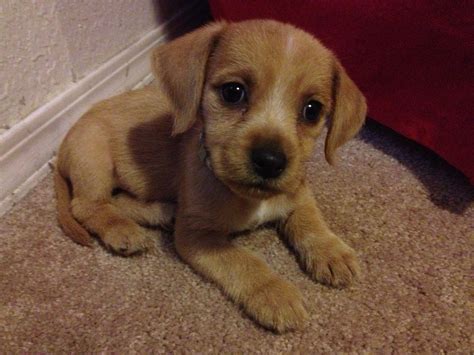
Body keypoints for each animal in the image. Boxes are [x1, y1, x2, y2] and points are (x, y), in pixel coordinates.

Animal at [54, 20, 366, 334]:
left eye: (312, 110)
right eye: (233, 92)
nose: (270, 162)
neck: (247, 198)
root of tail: (61, 150)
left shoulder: (298, 191)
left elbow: (311, 219)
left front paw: (331, 251)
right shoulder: (197, 237)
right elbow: (243, 262)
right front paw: (274, 294)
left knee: (117, 200)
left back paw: (162, 211)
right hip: (94, 156)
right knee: (88, 205)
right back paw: (122, 230)